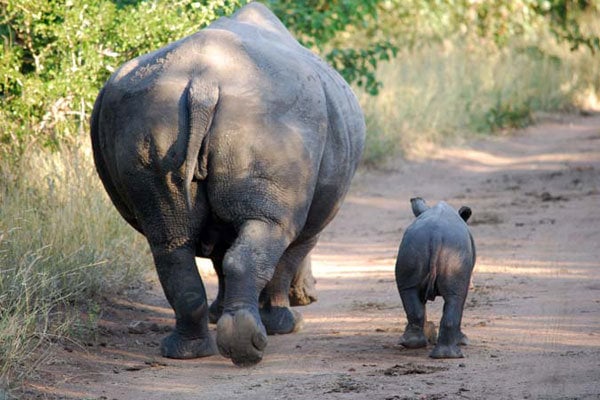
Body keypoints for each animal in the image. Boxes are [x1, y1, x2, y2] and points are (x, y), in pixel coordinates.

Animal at [89, 1, 366, 368]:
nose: (311, 295)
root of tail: (204, 82)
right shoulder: (310, 222)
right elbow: (287, 259)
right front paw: (286, 324)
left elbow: (221, 259)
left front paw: (218, 314)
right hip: (276, 116)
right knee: (269, 230)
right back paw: (250, 345)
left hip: (147, 113)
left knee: (168, 241)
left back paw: (186, 351)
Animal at [396, 198, 476, 358]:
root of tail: (436, 237)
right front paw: (463, 341)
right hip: (453, 251)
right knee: (456, 298)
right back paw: (450, 354)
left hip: (415, 247)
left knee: (408, 291)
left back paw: (413, 344)